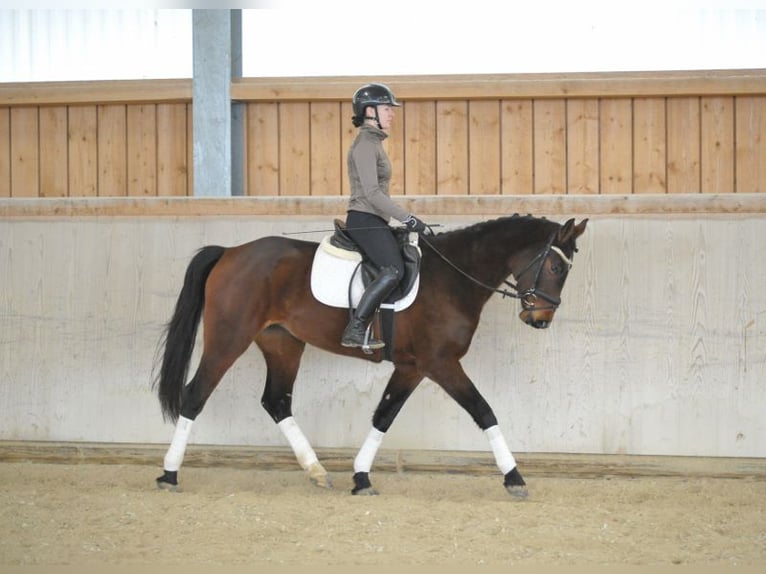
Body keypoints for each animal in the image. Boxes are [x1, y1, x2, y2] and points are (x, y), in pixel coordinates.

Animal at [154, 216, 588, 500]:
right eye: (553, 265)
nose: (540, 319)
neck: (453, 277)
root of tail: (230, 252)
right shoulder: (441, 363)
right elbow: (483, 411)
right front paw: (514, 477)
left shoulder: (412, 367)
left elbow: (384, 415)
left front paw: (361, 477)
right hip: (228, 339)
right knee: (195, 396)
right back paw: (169, 475)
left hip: (282, 344)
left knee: (276, 401)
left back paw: (317, 472)